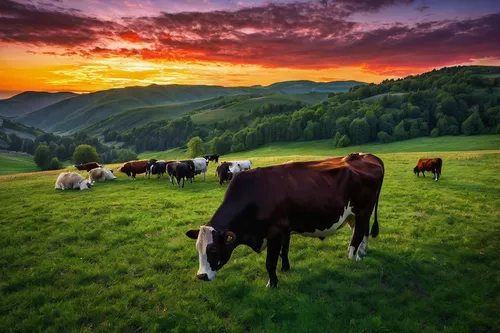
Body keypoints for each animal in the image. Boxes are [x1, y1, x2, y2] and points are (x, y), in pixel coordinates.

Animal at [186, 152, 384, 286]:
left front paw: (272, 283)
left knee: (358, 234)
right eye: (197, 248)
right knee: (362, 232)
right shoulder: (284, 228)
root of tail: (365, 156)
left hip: (362, 211)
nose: (201, 275)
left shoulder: (273, 230)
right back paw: (363, 251)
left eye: (212, 249)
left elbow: (270, 262)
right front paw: (285, 268)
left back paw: (353, 257)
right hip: (353, 215)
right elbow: (285, 251)